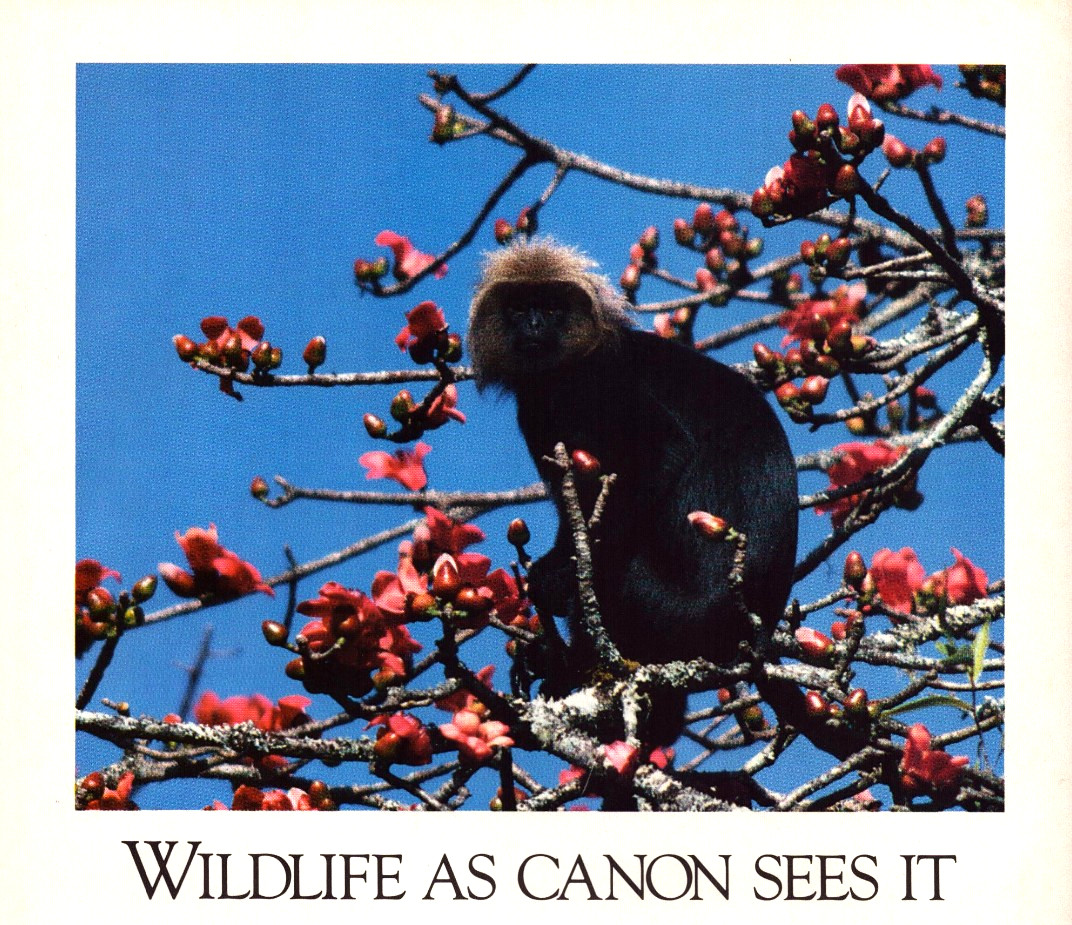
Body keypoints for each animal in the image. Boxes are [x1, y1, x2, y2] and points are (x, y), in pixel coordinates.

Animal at [467, 239, 798, 747]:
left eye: (551, 308)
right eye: (520, 308)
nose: (535, 324)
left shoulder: (597, 384)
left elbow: (663, 453)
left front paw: (555, 580)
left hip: (661, 606)